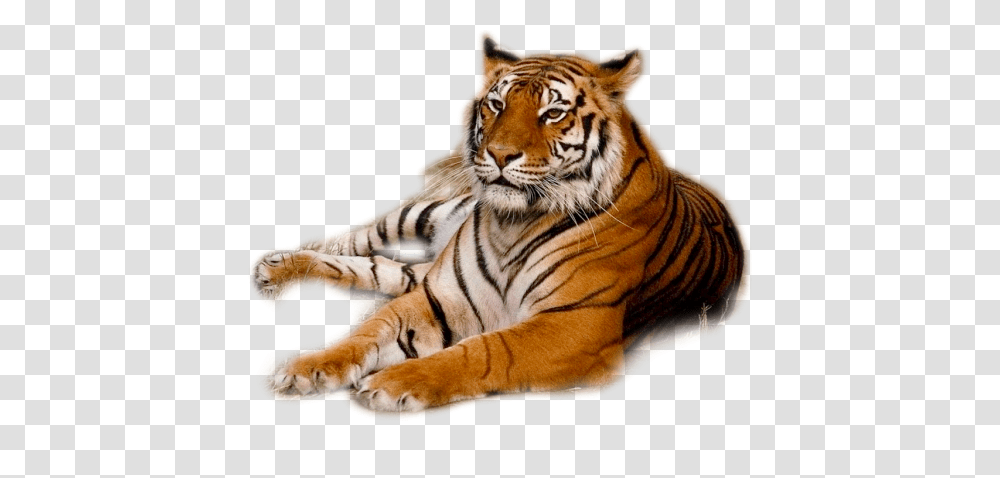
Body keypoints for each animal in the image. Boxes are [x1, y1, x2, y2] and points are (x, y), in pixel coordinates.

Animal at [254, 38, 744, 411]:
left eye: (553, 113)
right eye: (496, 104)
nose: (500, 154)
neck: (513, 223)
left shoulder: (575, 326)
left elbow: (482, 350)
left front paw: (392, 383)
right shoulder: (437, 296)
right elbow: (367, 332)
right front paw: (308, 368)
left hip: (420, 268)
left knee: (377, 268)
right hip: (423, 216)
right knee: (358, 243)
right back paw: (277, 266)